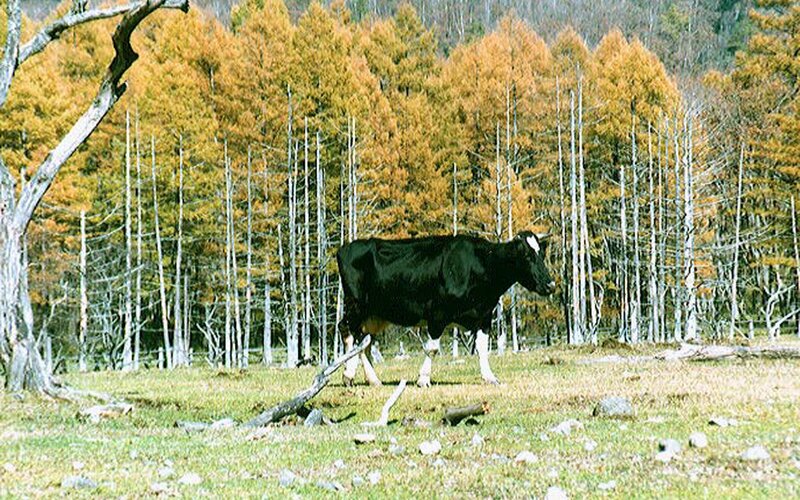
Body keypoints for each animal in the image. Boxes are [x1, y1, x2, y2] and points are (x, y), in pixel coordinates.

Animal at [336, 230, 556, 387]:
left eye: (541, 253)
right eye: (527, 256)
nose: (551, 285)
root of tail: (346, 247)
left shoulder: (484, 316)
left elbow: (483, 348)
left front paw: (489, 377)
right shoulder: (437, 314)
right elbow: (432, 348)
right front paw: (423, 379)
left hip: (374, 315)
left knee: (363, 341)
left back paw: (373, 380)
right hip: (356, 306)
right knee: (348, 332)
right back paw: (348, 374)